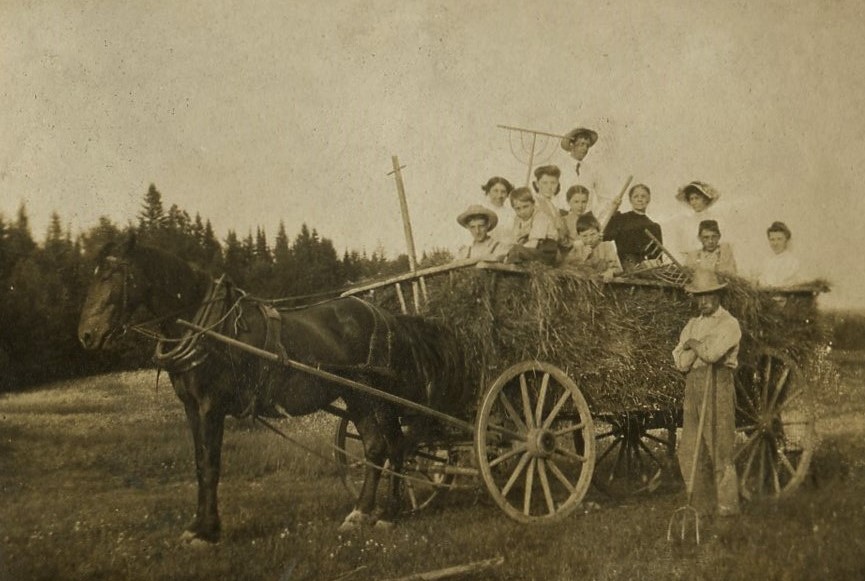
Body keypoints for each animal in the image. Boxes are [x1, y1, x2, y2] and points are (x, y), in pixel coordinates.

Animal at [77, 233, 470, 540]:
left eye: (111, 275)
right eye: (92, 276)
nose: (86, 335)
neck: (208, 330)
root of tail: (390, 317)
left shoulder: (211, 405)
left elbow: (212, 465)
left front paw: (208, 531)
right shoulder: (191, 406)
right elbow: (200, 464)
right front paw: (198, 526)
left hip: (378, 397)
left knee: (397, 445)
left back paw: (388, 513)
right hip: (356, 396)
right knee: (376, 447)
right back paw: (359, 513)